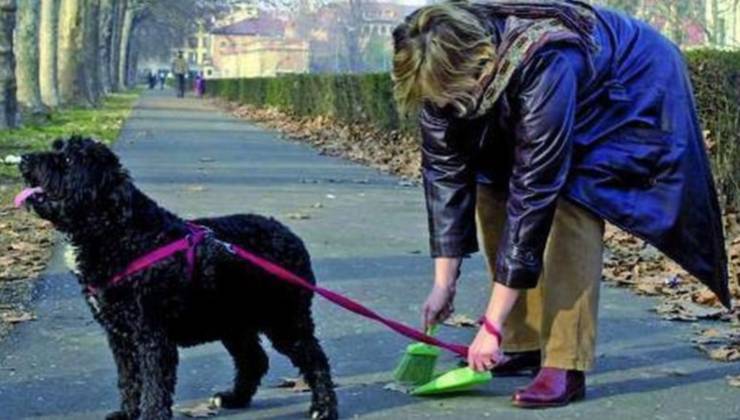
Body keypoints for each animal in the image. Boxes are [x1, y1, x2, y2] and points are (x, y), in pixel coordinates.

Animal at [18, 138, 338, 420]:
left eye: (68, 159)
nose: (23, 159)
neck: (123, 232)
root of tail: (291, 236)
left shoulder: (151, 335)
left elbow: (155, 386)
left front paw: (150, 416)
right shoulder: (120, 336)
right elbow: (129, 380)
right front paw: (126, 413)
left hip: (284, 319)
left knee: (316, 359)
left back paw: (323, 408)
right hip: (233, 321)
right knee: (254, 359)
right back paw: (235, 398)